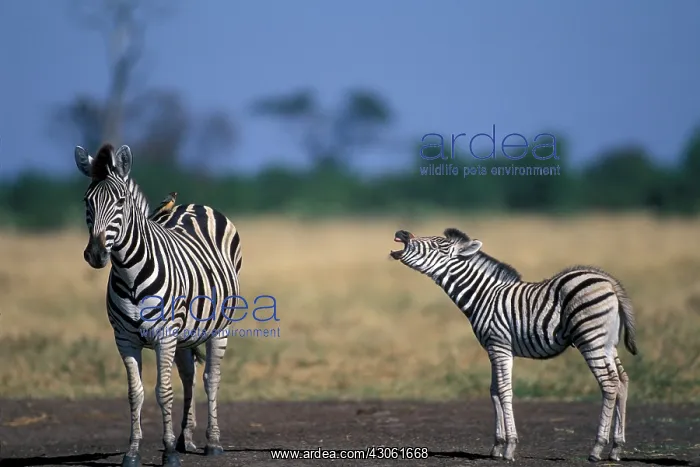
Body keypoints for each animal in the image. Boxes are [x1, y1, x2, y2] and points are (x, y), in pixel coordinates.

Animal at [75, 143, 243, 467]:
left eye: (121, 201)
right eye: (87, 201)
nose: (96, 254)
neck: (129, 273)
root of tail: (193, 205)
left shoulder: (165, 336)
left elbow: (163, 391)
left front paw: (167, 453)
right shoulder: (125, 339)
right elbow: (135, 393)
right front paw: (133, 452)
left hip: (219, 328)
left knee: (211, 379)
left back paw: (212, 442)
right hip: (186, 333)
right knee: (190, 378)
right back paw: (185, 439)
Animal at [389, 227, 637, 463]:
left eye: (436, 245)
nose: (402, 233)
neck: (483, 297)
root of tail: (608, 281)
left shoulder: (499, 346)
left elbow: (505, 391)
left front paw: (509, 447)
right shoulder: (493, 348)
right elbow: (494, 391)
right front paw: (497, 446)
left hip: (590, 339)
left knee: (609, 384)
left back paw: (597, 449)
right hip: (607, 344)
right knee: (622, 382)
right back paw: (616, 448)